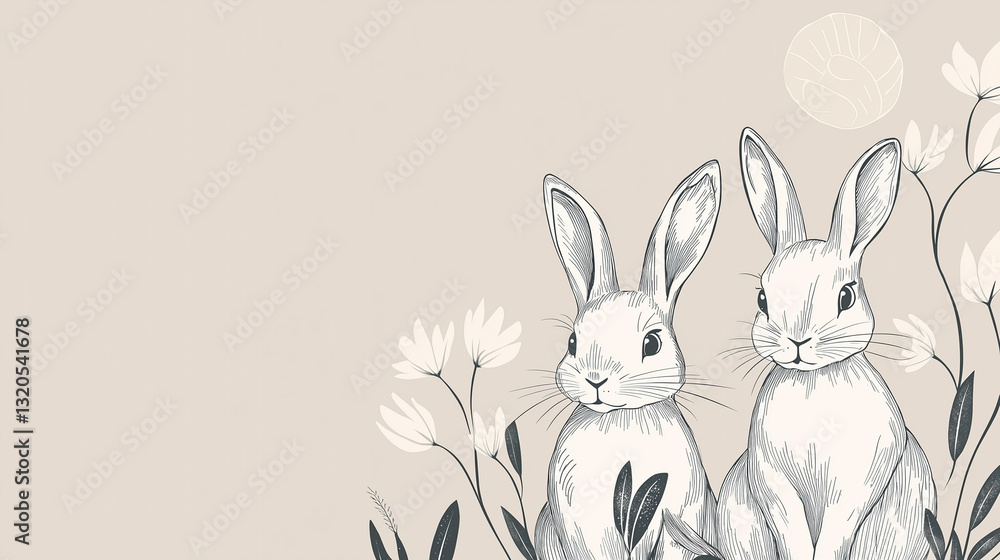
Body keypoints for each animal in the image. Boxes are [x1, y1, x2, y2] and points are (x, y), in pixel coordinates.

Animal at [534, 161, 724, 560]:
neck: (621, 419)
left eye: (652, 343)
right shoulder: (582, 533)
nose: (596, 379)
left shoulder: (679, 519)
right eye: (572, 342)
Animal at [715, 128, 936, 560]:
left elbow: (836, 533)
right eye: (762, 299)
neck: (813, 380)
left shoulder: (857, 483)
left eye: (846, 297)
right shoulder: (773, 483)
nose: (798, 341)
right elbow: (793, 533)